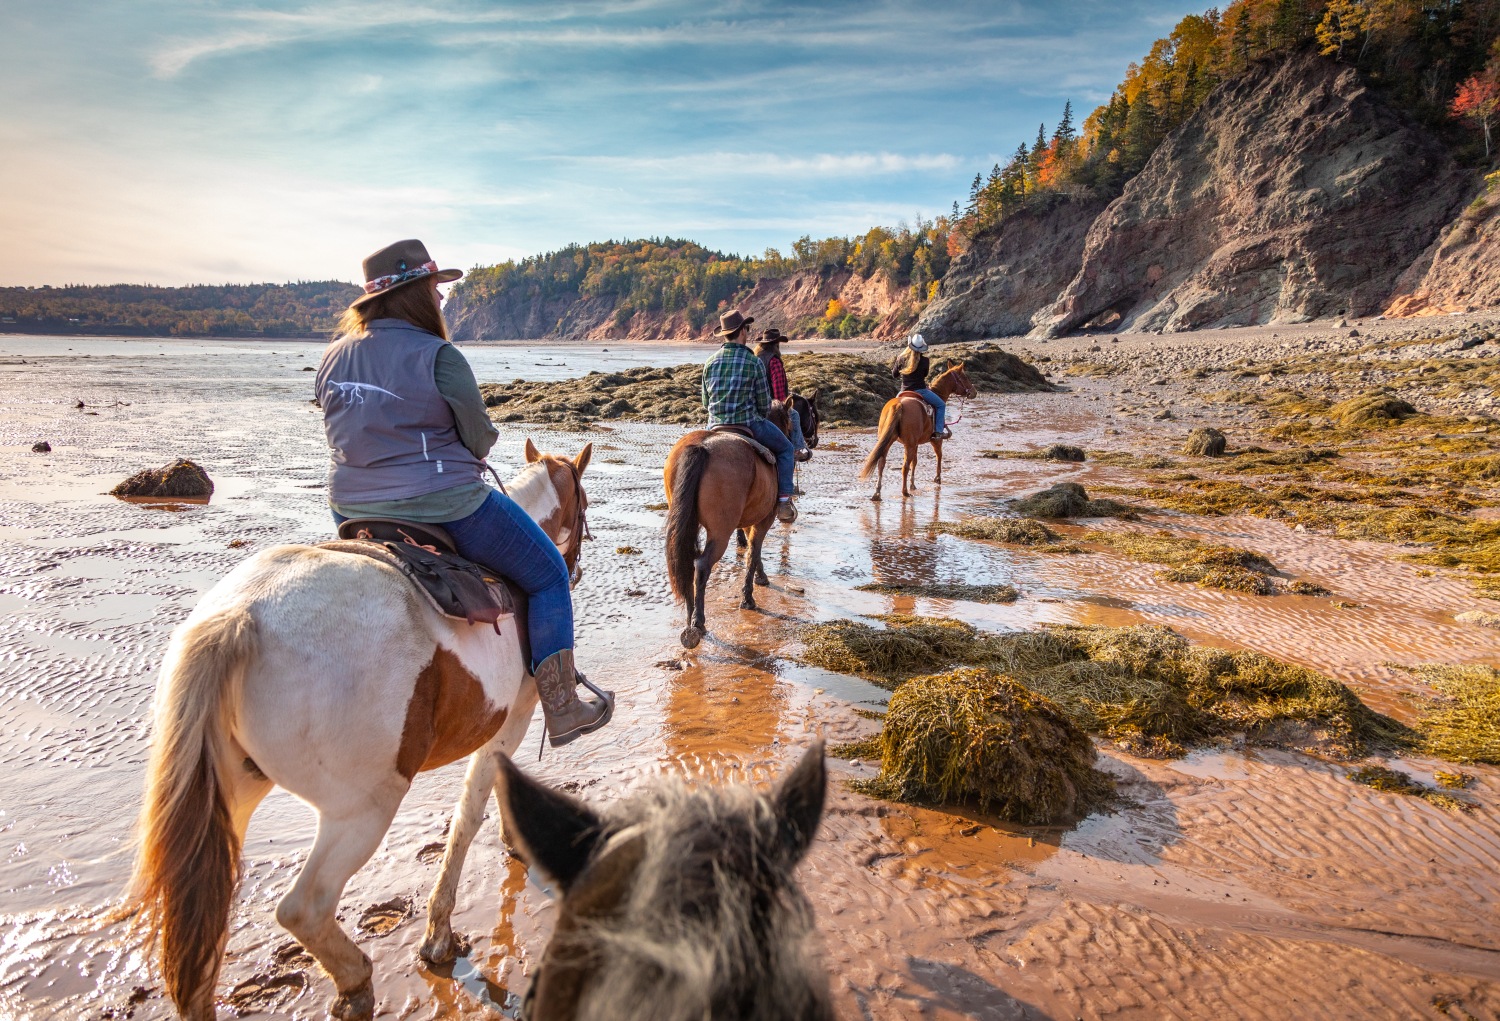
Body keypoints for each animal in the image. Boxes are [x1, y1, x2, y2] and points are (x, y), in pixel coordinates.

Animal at [127, 437, 591, 1019]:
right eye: (584, 507)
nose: (573, 570)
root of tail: (239, 620)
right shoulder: (514, 717)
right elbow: (472, 810)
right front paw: (439, 934)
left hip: (231, 796)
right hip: (363, 806)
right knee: (304, 910)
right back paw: (354, 981)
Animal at [663, 398, 792, 644]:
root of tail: (701, 446)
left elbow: (752, 550)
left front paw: (760, 578)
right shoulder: (764, 519)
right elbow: (753, 551)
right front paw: (748, 598)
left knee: (688, 563)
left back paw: (690, 617)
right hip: (720, 532)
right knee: (702, 565)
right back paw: (698, 622)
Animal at [864, 359, 978, 500]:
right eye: (965, 377)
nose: (974, 392)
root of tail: (899, 405)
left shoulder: (916, 444)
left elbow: (915, 462)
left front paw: (913, 484)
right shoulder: (936, 440)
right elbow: (939, 456)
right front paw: (937, 478)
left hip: (889, 441)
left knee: (882, 463)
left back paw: (877, 493)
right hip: (909, 444)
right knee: (904, 467)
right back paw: (904, 492)